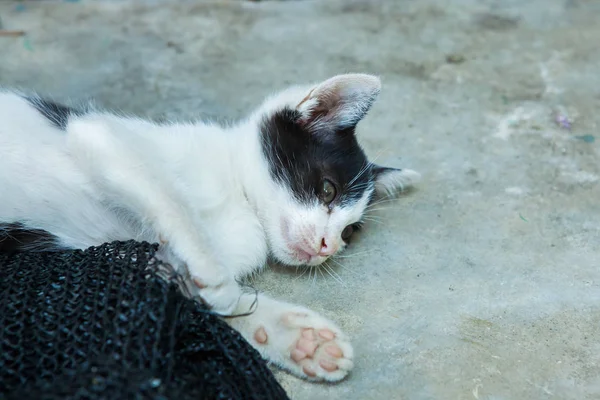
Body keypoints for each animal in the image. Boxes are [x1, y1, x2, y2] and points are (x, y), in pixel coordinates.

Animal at [0, 73, 420, 382]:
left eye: (349, 232)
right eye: (328, 190)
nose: (327, 246)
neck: (242, 202)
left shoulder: (117, 256)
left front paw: (297, 338)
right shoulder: (100, 136)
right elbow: (169, 195)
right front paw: (214, 274)